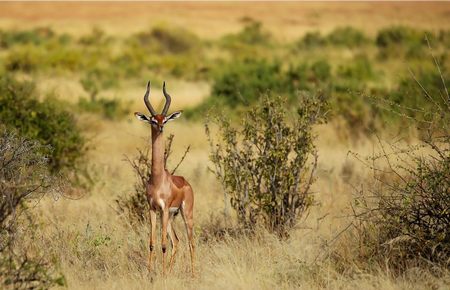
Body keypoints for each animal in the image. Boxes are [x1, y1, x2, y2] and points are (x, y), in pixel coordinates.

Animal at [134, 81, 193, 274]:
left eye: (165, 119)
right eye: (153, 119)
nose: (161, 127)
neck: (158, 179)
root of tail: (186, 182)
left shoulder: (165, 208)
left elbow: (163, 245)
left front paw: (162, 274)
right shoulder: (153, 209)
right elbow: (152, 243)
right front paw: (150, 272)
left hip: (185, 214)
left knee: (190, 243)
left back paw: (193, 274)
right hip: (170, 218)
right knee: (177, 242)